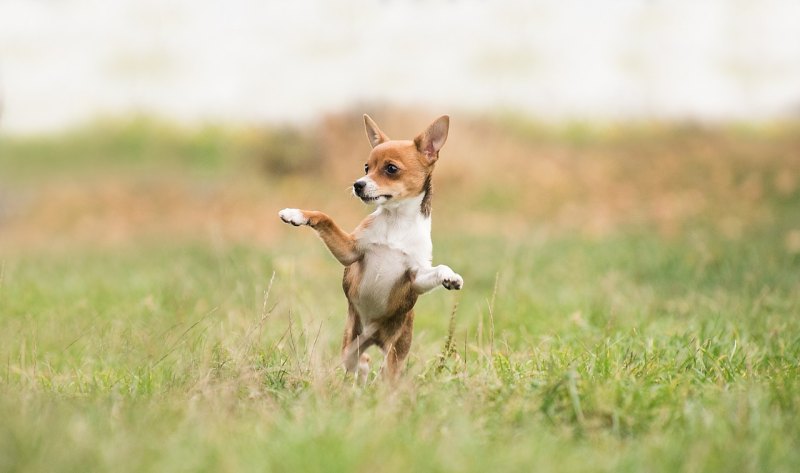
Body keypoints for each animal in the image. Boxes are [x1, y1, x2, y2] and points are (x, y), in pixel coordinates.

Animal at [280, 114, 462, 380]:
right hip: (351, 342)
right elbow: (325, 217)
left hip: (395, 352)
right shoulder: (350, 251)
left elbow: (438, 269)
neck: (396, 222)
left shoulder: (415, 278)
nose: (358, 184)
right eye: (366, 168)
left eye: (391, 169)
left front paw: (450, 276)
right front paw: (297, 214)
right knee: (359, 361)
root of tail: (373, 337)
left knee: (385, 372)